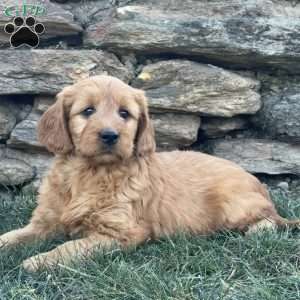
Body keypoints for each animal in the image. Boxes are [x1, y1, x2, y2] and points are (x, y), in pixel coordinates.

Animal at [1, 75, 298, 272]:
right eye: (88, 111)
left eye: (125, 114)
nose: (110, 135)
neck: (90, 173)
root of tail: (259, 185)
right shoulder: (44, 222)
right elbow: (12, 236)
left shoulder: (122, 232)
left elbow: (71, 247)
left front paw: (37, 261)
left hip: (234, 206)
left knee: (270, 221)